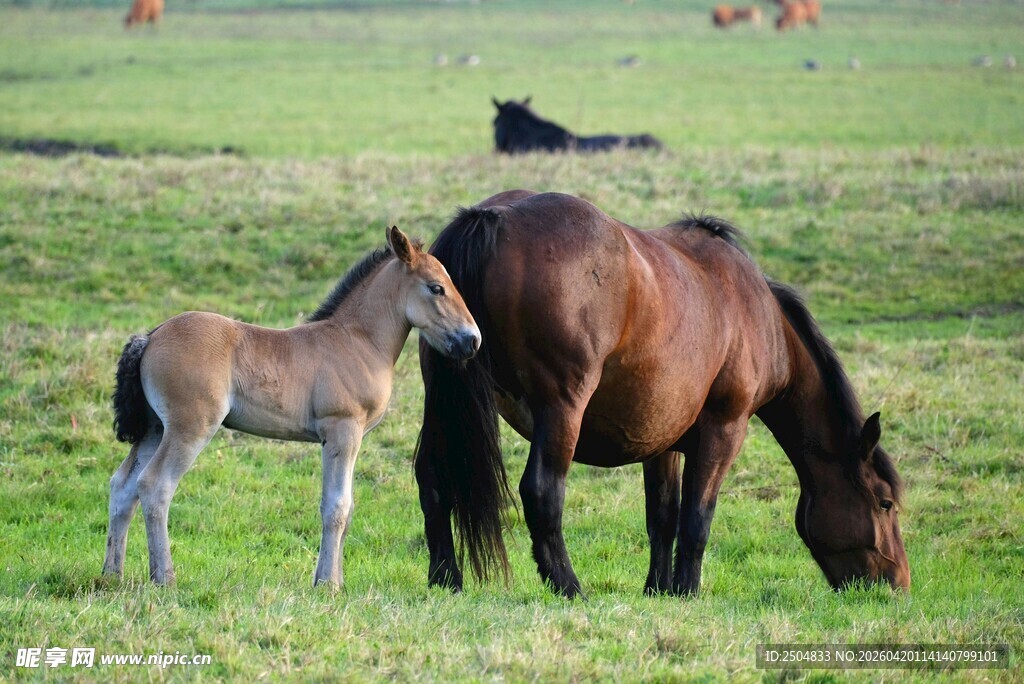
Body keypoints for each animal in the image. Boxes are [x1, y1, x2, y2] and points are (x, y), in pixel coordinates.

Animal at [103, 227, 480, 588]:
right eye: (436, 288)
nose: (472, 340)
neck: (358, 340)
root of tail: (151, 336)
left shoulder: (348, 437)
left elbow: (346, 507)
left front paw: (335, 580)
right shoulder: (342, 430)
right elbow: (336, 507)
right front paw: (327, 584)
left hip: (155, 429)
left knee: (123, 486)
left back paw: (112, 574)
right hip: (190, 427)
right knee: (155, 486)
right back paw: (164, 578)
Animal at [414, 191, 909, 599]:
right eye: (884, 502)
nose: (899, 584)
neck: (759, 316)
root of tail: (492, 217)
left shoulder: (662, 441)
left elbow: (663, 516)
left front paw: (659, 588)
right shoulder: (723, 430)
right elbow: (697, 518)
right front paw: (687, 591)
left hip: (444, 405)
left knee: (432, 478)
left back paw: (446, 578)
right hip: (561, 411)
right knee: (542, 492)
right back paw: (569, 586)